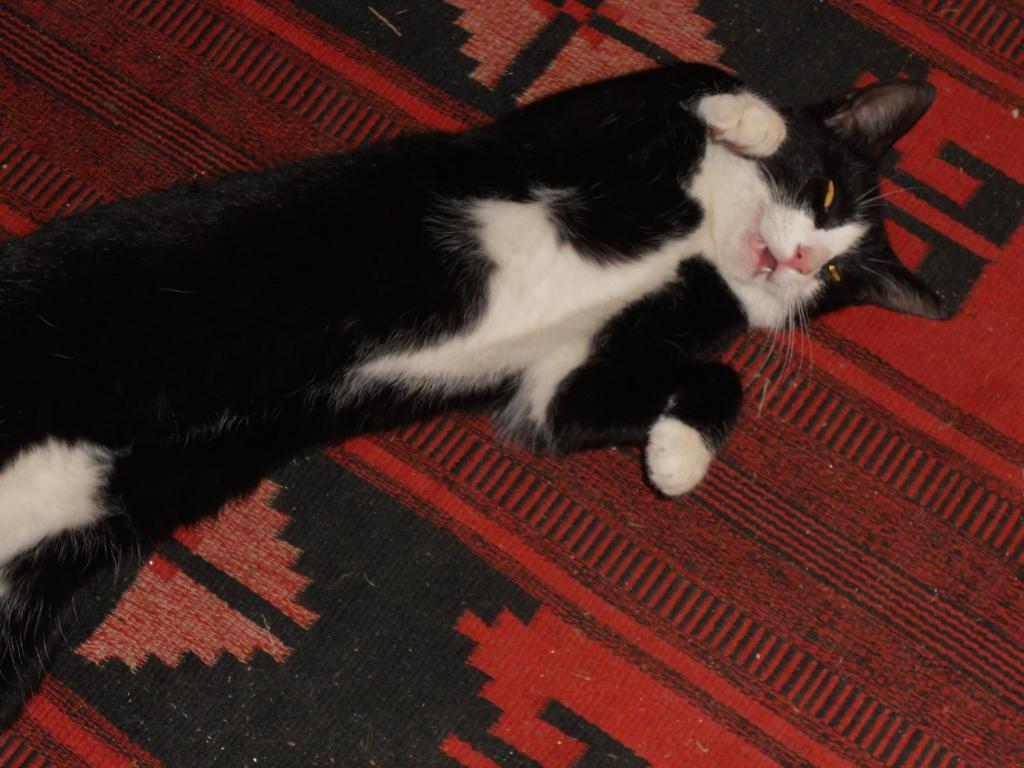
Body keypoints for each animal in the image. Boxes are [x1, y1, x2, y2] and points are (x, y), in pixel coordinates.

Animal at [0, 61, 950, 729]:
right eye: (823, 191)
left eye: (836, 278)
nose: (799, 262)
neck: (703, 244)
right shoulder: (558, 134)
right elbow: (688, 77)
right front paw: (754, 120)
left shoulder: (560, 384)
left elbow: (699, 378)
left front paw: (676, 457)